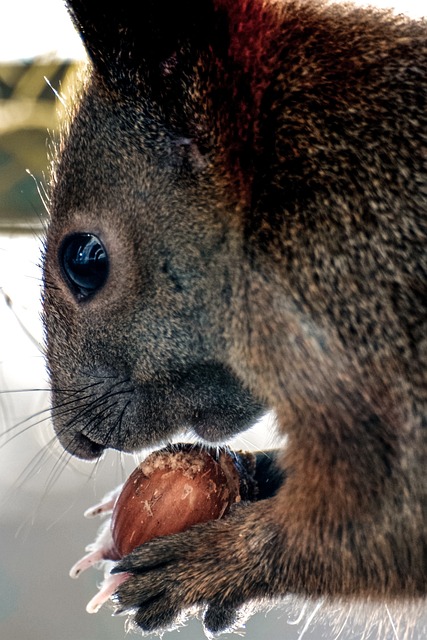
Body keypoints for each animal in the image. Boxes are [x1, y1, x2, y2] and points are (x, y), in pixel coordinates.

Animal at [41, 0, 426, 636]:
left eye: (85, 259)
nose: (76, 441)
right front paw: (249, 478)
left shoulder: (373, 296)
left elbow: (394, 518)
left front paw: (213, 563)